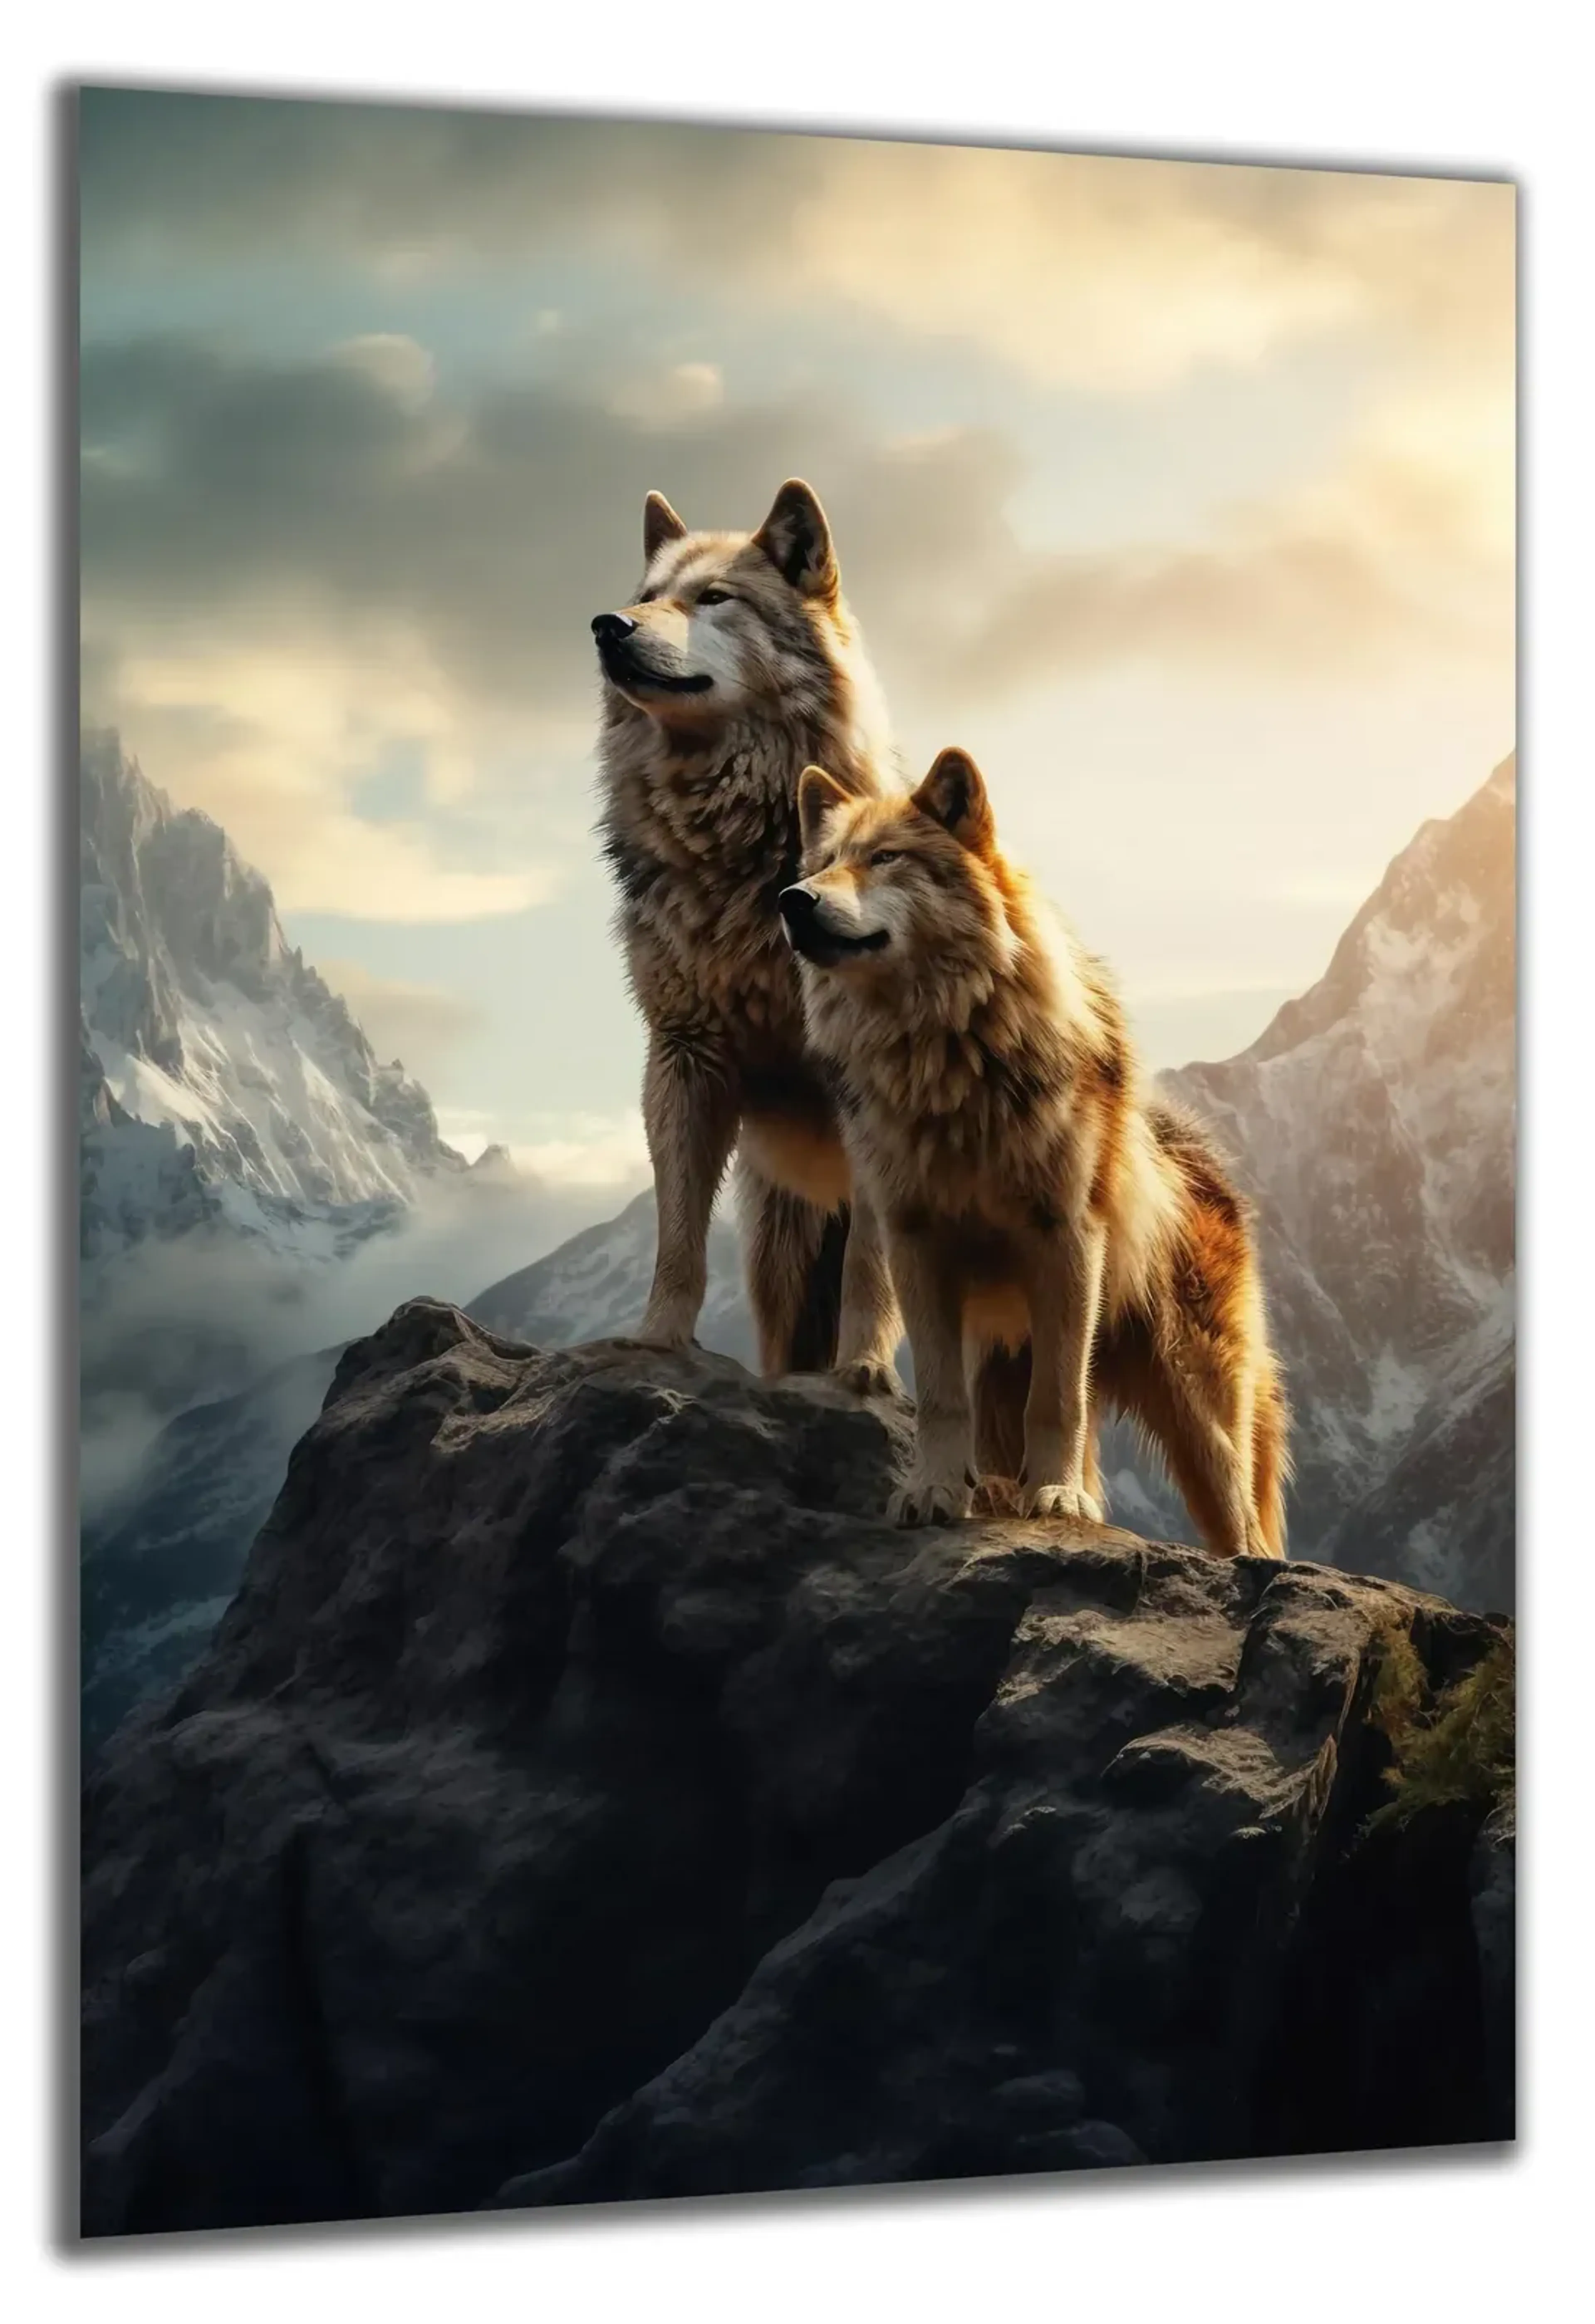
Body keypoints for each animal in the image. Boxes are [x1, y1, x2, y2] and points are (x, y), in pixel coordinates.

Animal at [592, 478, 902, 1384]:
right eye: (645, 595)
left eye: (715, 599)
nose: (607, 626)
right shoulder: (684, 1057)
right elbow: (677, 1242)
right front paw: (655, 1342)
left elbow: (874, 1262)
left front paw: (864, 1371)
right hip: (779, 1254)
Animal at [782, 745, 1290, 1556]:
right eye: (825, 862)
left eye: (886, 858)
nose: (793, 900)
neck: (949, 1059)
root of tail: (1210, 1165)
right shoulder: (915, 1243)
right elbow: (939, 1398)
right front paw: (932, 1491)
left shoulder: (1067, 1240)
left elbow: (1059, 1400)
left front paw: (1056, 1500)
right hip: (1005, 1372)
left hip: (1199, 1416)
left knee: (1245, 1531)